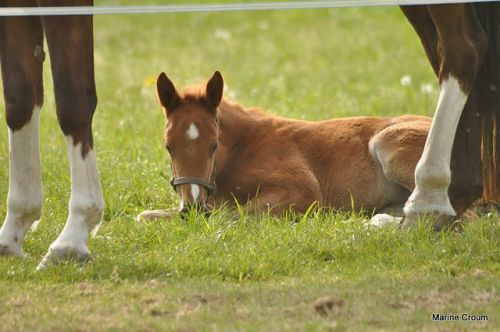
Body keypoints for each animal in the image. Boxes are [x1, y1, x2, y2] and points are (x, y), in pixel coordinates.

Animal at [139, 71, 432, 224]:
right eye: (168, 146)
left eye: (214, 145)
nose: (193, 206)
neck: (241, 150)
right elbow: (144, 215)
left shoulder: (303, 191)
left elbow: (234, 214)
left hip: (386, 142)